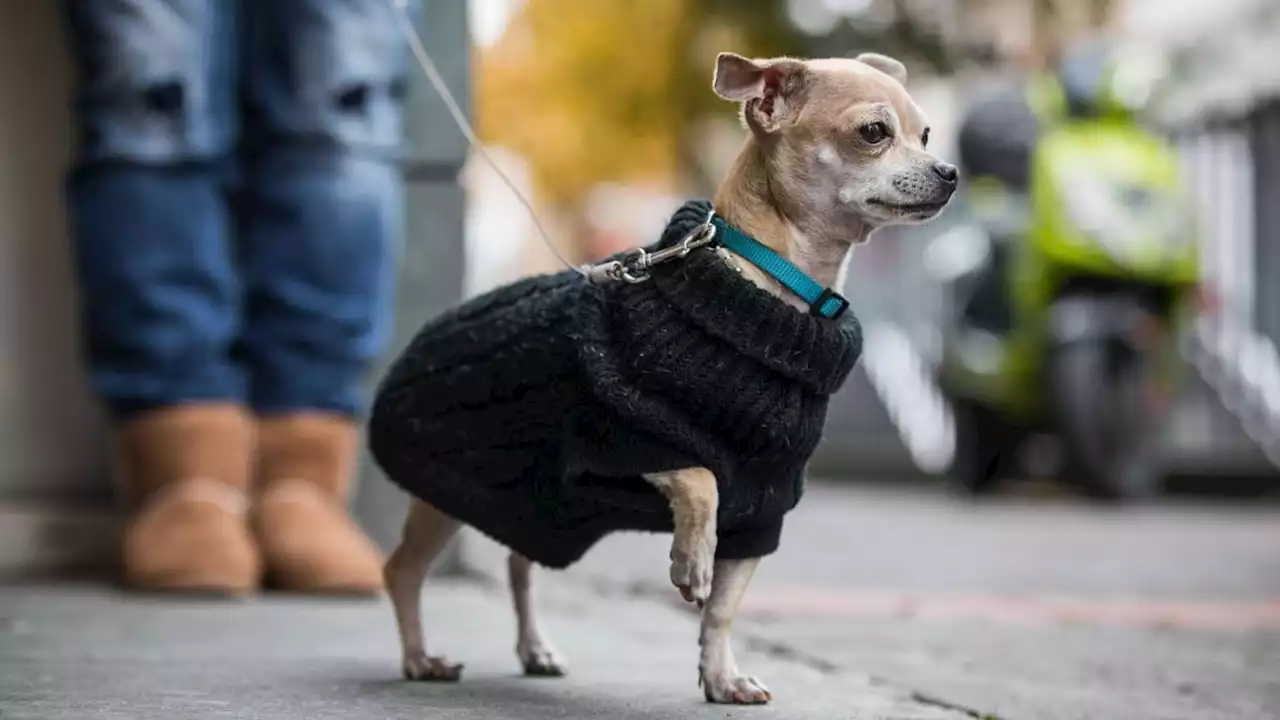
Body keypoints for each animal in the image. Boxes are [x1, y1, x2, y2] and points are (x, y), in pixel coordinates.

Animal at [373, 50, 957, 702]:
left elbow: (724, 608)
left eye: (925, 134)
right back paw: (420, 657)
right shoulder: (622, 443)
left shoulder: (763, 507)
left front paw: (722, 678)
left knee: (518, 564)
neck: (771, 287)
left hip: (527, 502)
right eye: (874, 133)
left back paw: (534, 648)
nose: (950, 171)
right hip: (445, 497)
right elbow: (701, 476)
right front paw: (690, 562)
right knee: (402, 570)